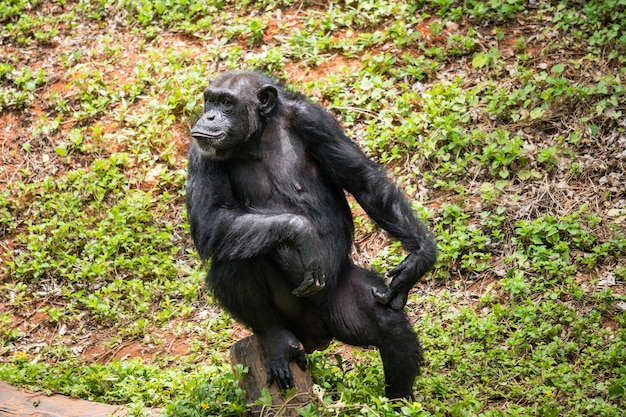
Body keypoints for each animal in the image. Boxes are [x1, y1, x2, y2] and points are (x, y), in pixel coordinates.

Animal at [186, 70, 434, 398]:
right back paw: (277, 340)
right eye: (209, 100)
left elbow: (364, 182)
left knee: (389, 327)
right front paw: (301, 232)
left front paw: (419, 259)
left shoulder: (315, 121)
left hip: (340, 301)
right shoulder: (200, 153)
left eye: (226, 102)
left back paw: (398, 401)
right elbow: (210, 218)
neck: (258, 135)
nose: (210, 116)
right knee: (235, 259)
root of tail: (318, 337)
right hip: (293, 317)